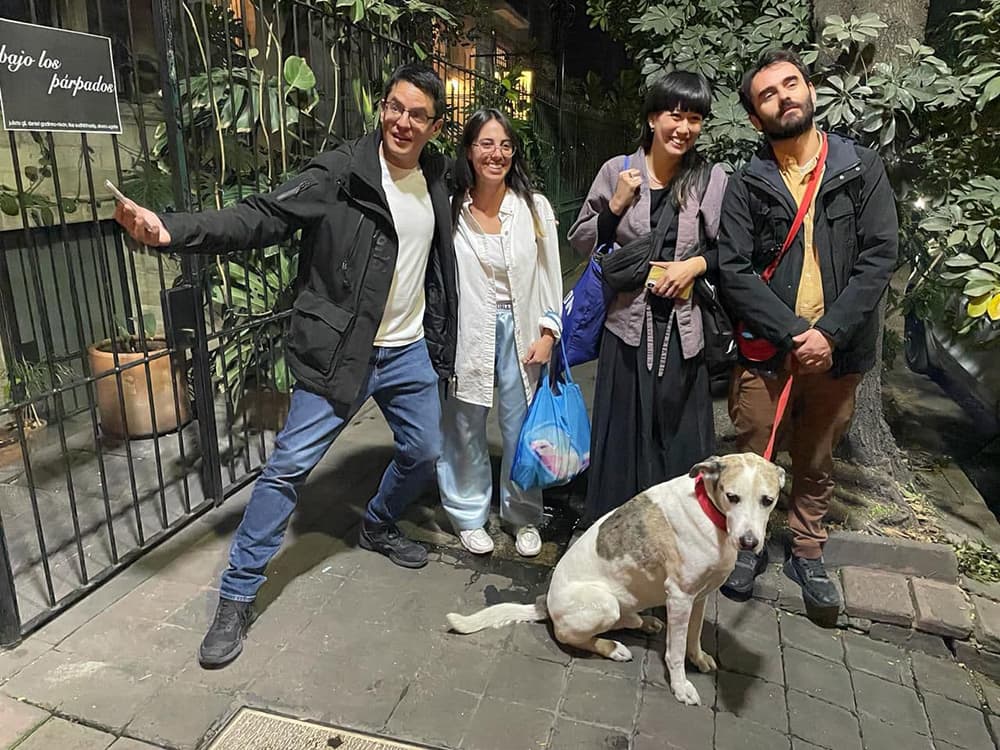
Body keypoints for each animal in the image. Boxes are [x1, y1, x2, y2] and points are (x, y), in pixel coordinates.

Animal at [445, 453, 784, 705]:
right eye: (732, 496)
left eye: (767, 500)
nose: (749, 543)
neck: (710, 513)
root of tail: (545, 603)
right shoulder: (680, 597)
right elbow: (674, 652)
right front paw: (680, 686)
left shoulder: (699, 596)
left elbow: (693, 635)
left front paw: (698, 658)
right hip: (603, 604)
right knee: (567, 635)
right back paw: (613, 648)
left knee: (625, 619)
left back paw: (643, 622)